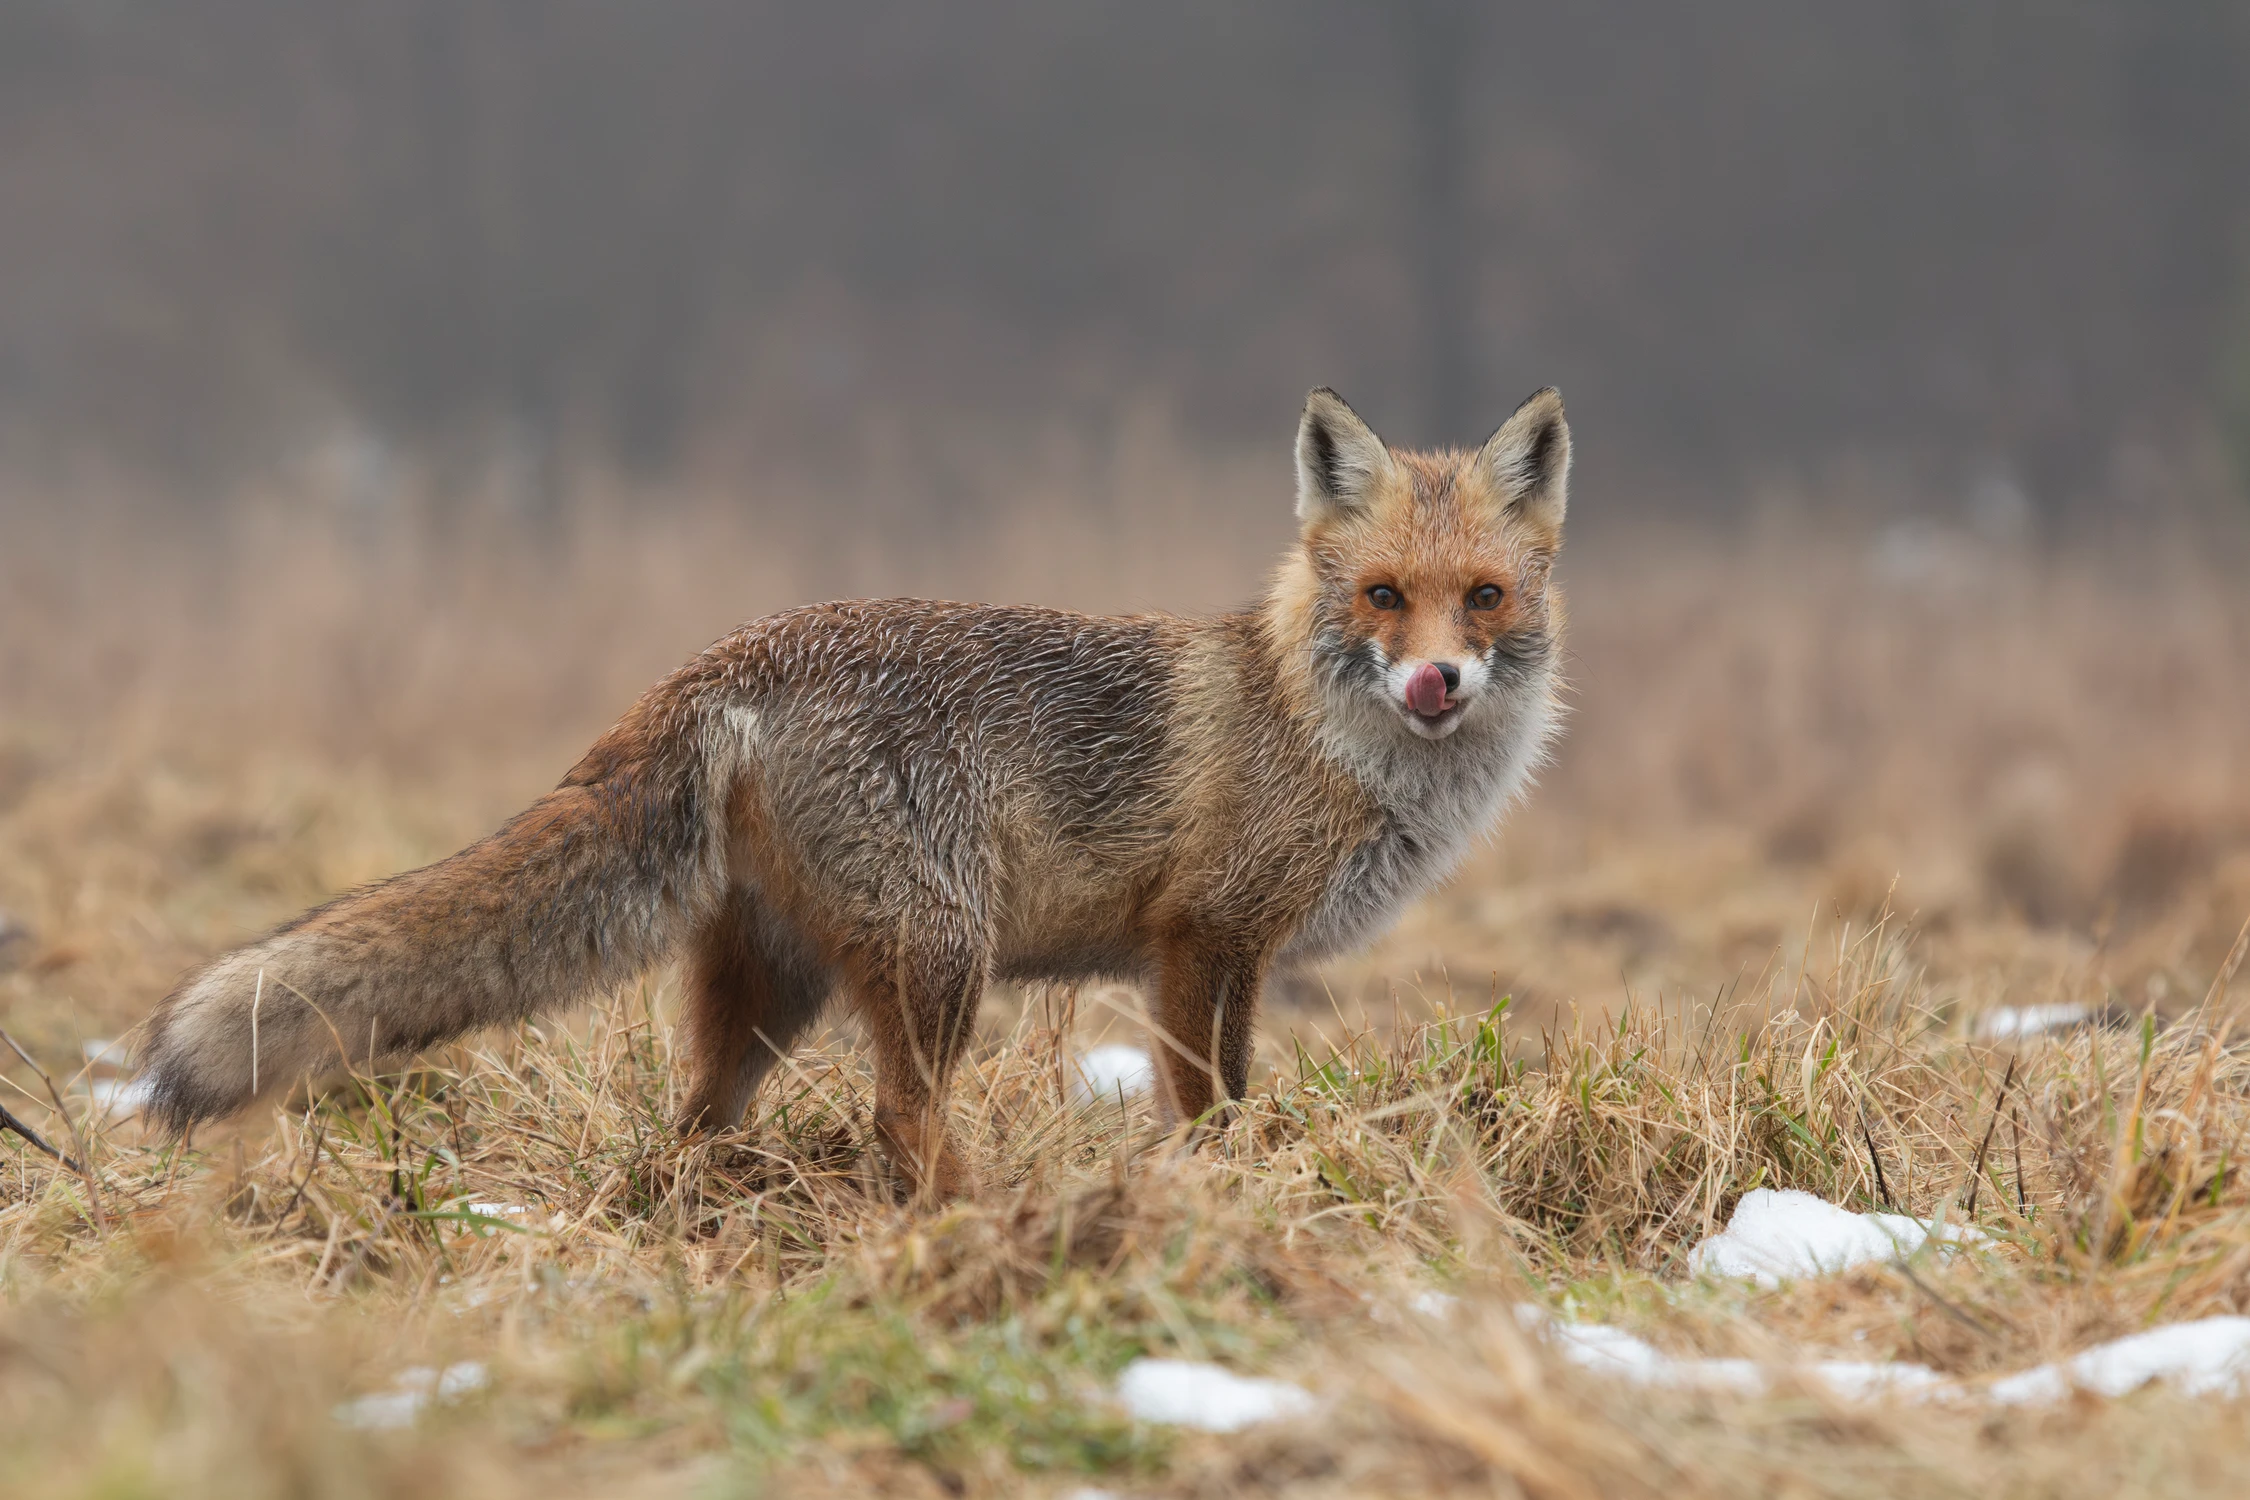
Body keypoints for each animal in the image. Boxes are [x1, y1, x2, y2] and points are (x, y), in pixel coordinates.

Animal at [140, 386, 1575, 1196]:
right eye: (1381, 596)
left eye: (1483, 598)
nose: (1437, 681)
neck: (1317, 728)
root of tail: (724, 656)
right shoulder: (1204, 936)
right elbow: (1209, 1104)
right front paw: (1231, 1201)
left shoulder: (1230, 949)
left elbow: (1227, 1097)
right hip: (940, 956)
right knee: (899, 1117)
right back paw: (982, 1225)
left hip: (774, 985)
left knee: (691, 1122)